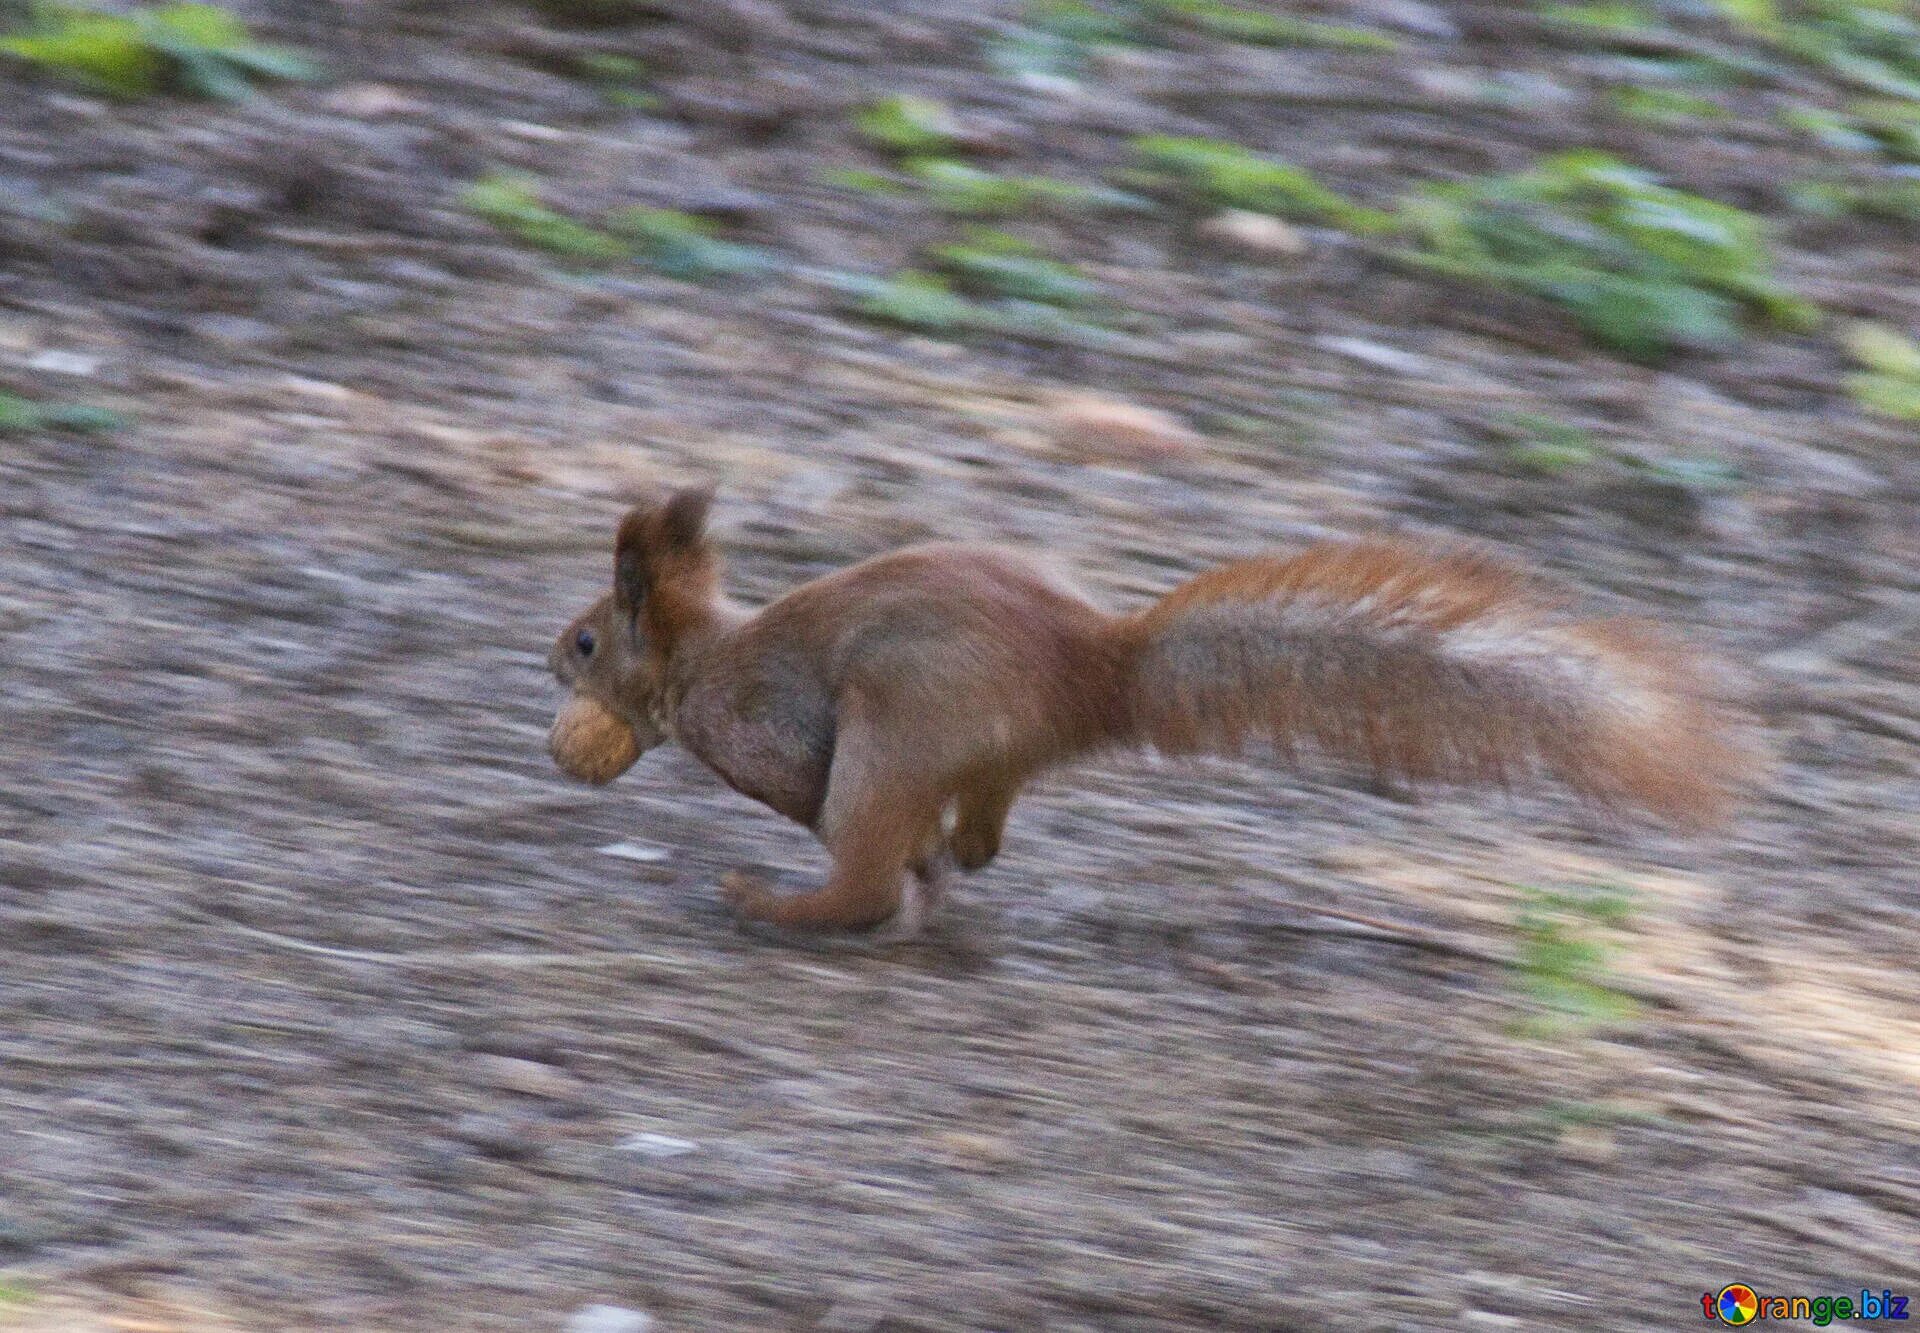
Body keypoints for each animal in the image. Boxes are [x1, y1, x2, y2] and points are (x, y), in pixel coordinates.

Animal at [549, 487, 1751, 941]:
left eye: (587, 640)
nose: (545, 662)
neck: (702, 660)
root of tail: (1090, 669)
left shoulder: (767, 729)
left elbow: (802, 786)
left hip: (897, 731)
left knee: (864, 862)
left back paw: (784, 901)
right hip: (977, 753)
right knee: (979, 830)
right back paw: (944, 867)